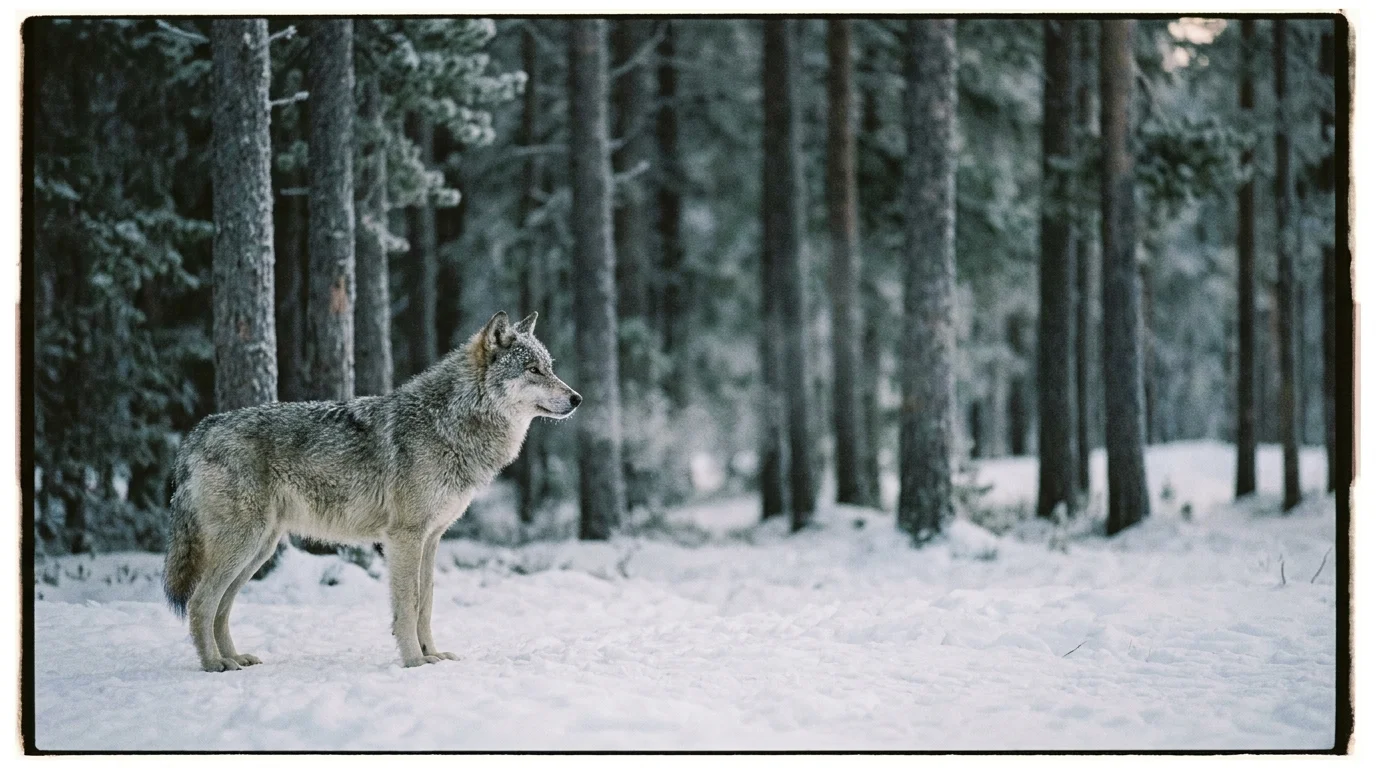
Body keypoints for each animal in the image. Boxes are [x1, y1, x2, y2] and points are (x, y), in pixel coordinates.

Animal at [162, 311, 579, 671]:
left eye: (550, 367)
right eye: (533, 370)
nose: (577, 398)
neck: (448, 424)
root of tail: (198, 431)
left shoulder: (431, 539)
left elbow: (426, 603)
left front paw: (433, 654)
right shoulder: (404, 538)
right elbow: (407, 605)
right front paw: (413, 661)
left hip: (259, 550)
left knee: (221, 608)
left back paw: (235, 658)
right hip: (244, 545)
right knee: (200, 603)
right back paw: (214, 664)